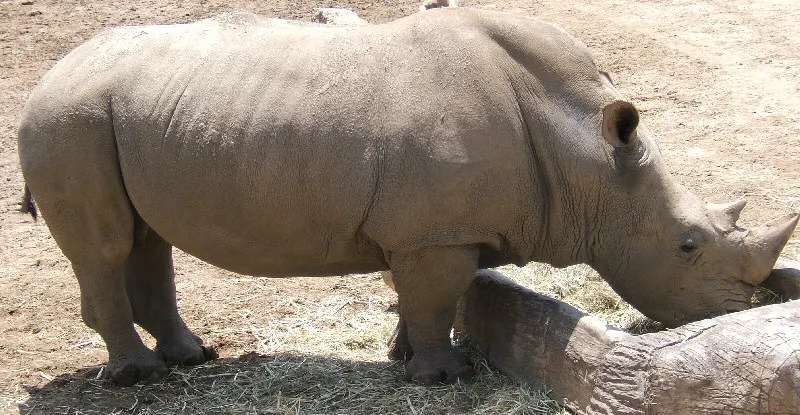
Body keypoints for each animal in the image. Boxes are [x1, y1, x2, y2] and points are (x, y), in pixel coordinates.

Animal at [17, 9, 798, 386]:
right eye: (687, 245)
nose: (739, 308)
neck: (588, 155)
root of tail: (48, 76)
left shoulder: (432, 227)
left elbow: (425, 297)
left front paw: (405, 358)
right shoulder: (435, 231)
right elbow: (434, 294)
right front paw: (444, 380)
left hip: (106, 116)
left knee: (147, 238)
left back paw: (193, 358)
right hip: (67, 120)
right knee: (105, 248)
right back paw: (137, 379)